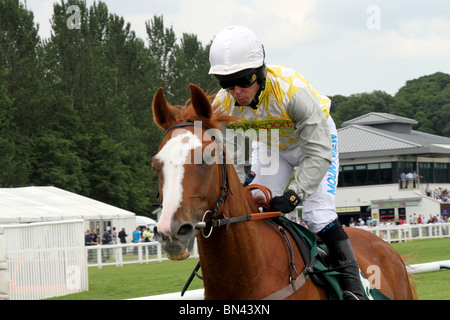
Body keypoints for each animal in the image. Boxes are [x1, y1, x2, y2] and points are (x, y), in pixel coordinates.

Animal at [151, 84, 414, 298]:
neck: (248, 276)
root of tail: (385, 245)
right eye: (156, 163)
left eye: (208, 157)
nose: (171, 231)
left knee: (322, 216)